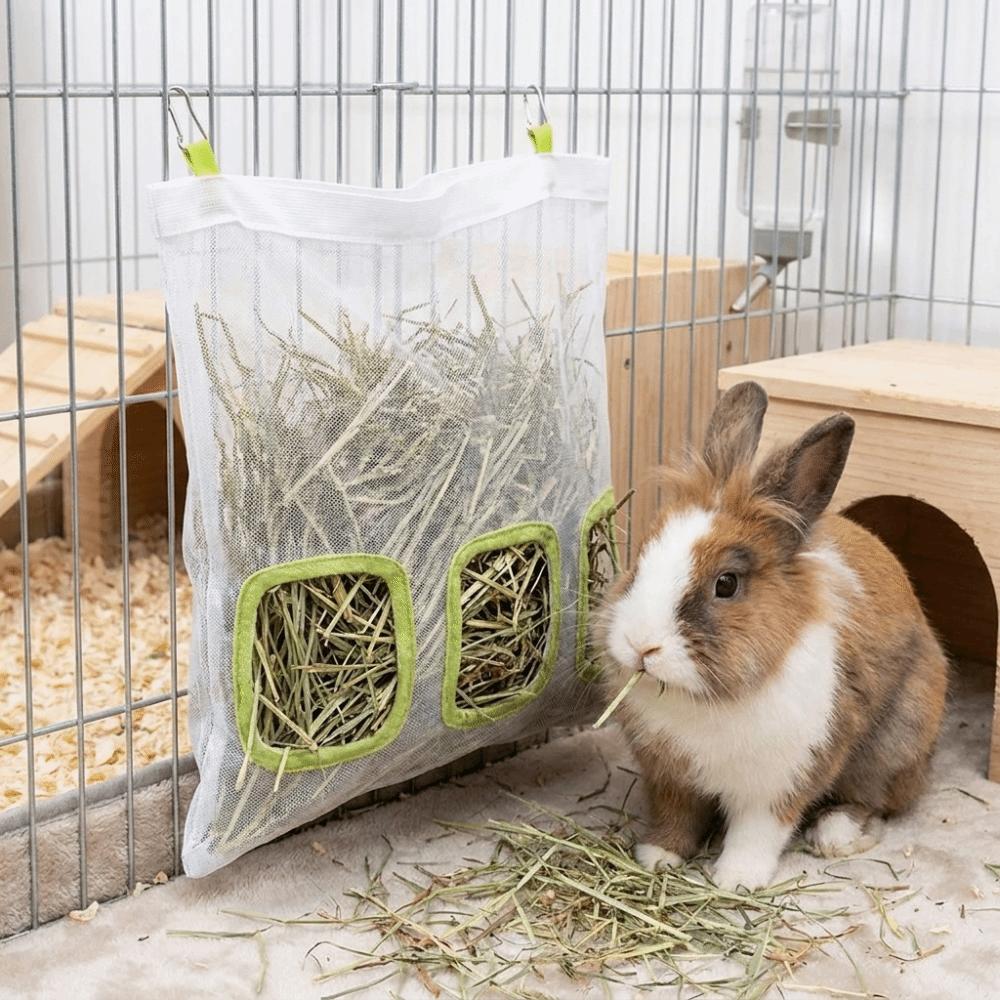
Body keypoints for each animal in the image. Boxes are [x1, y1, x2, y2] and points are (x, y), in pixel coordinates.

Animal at [595, 380, 949, 892]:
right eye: (640, 557)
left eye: (726, 584)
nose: (640, 646)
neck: (705, 699)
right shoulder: (671, 779)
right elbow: (676, 817)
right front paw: (659, 856)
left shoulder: (783, 781)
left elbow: (758, 833)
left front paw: (736, 880)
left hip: (895, 742)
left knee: (878, 800)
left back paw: (835, 832)